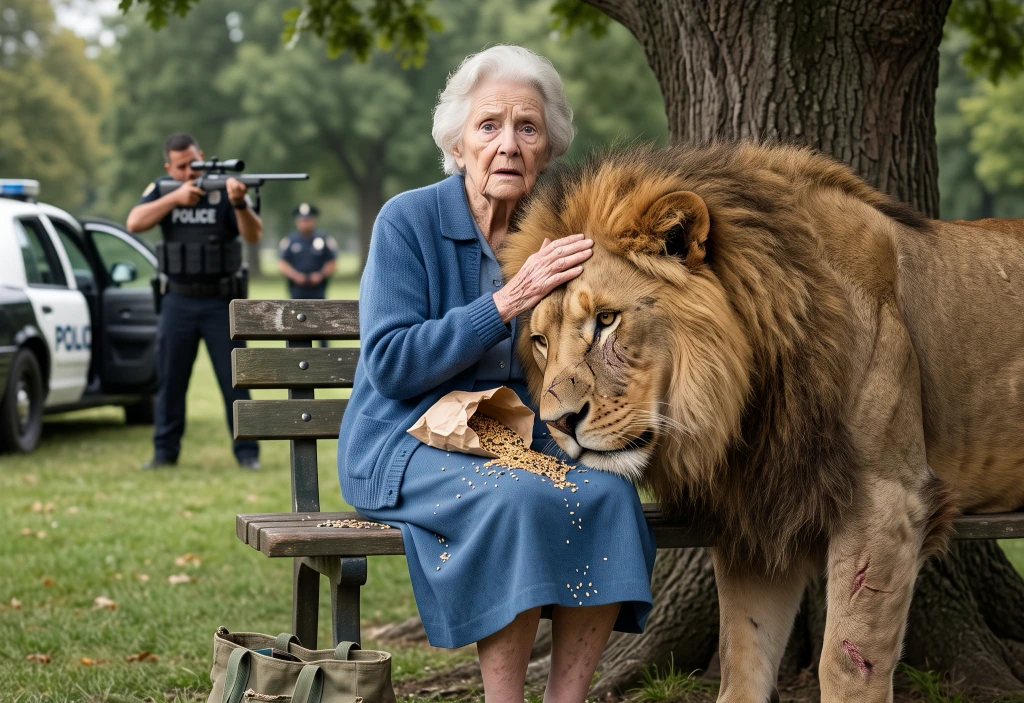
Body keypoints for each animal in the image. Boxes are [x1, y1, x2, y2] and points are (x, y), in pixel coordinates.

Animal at [499, 142, 1024, 703]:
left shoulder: (888, 500)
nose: (558, 423)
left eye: (606, 320)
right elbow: (741, 662)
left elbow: (846, 664)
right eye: (541, 341)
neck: (748, 406)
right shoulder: (758, 514)